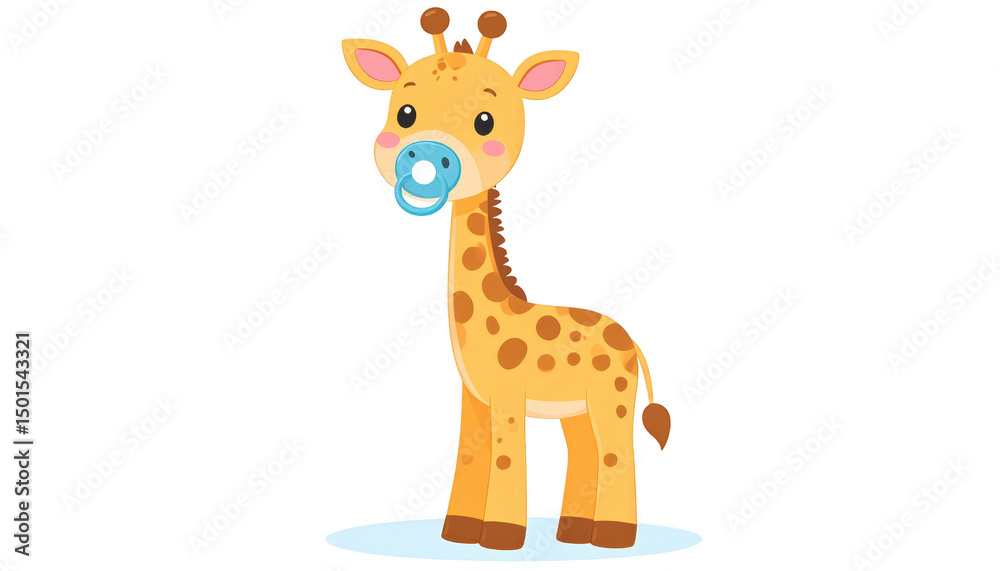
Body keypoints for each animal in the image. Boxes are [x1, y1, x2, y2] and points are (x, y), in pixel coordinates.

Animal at [343, 8, 671, 550]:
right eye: (405, 113)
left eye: (485, 120)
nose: (427, 153)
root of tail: (633, 343)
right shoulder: (473, 399)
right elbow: (470, 455)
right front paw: (458, 532)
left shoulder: (509, 397)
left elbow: (505, 457)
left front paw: (500, 537)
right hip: (576, 411)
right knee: (585, 451)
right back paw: (573, 534)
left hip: (612, 400)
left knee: (616, 451)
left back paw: (613, 538)